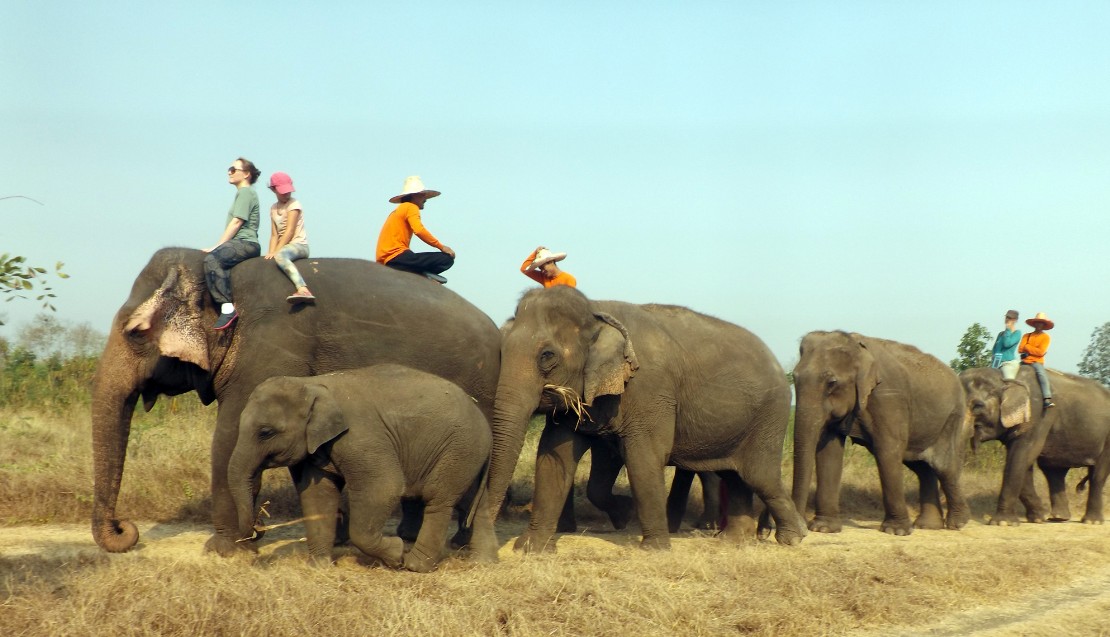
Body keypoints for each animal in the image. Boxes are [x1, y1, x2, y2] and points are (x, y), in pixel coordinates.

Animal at [229, 364, 495, 572]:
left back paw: (416, 566)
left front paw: (396, 553)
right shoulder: (314, 449)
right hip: (469, 455)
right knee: (473, 502)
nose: (259, 525)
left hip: (459, 447)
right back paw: (482, 564)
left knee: (438, 498)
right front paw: (319, 568)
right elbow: (317, 495)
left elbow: (384, 488)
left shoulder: (361, 436)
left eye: (265, 432)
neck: (312, 384)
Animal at [481, 286, 803, 552]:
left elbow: (644, 456)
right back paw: (732, 540)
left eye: (547, 356)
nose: (493, 542)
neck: (595, 309)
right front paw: (531, 549)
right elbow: (554, 457)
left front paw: (654, 547)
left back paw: (792, 537)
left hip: (768, 418)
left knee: (760, 475)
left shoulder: (650, 390)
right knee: (733, 475)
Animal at [790, 332, 972, 537]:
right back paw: (928, 526)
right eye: (794, 378)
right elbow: (829, 452)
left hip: (952, 417)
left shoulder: (889, 397)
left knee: (942, 465)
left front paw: (896, 531)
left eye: (832, 383)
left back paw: (958, 522)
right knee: (921, 466)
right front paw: (824, 528)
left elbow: (887, 451)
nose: (802, 527)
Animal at [963, 366, 1110, 526]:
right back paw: (1058, 518)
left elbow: (1021, 457)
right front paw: (1038, 518)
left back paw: (1091, 521)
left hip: (1107, 438)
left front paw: (1002, 523)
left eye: (978, 406)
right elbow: (1023, 463)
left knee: (1097, 474)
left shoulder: (1038, 414)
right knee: (1054, 471)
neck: (1005, 377)